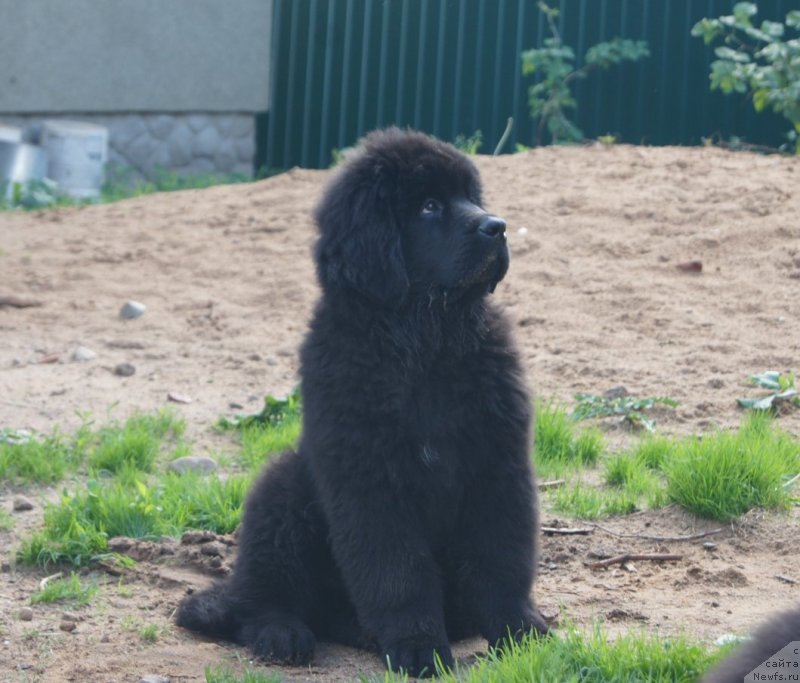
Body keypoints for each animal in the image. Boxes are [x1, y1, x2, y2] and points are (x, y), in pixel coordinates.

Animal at [177, 130, 548, 680]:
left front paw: (522, 633)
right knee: (257, 599)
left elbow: (501, 557)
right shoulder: (371, 482)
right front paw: (418, 648)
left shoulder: (497, 465)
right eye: (429, 206)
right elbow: (399, 572)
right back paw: (282, 634)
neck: (424, 345)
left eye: (470, 196)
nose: (497, 226)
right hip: (282, 488)